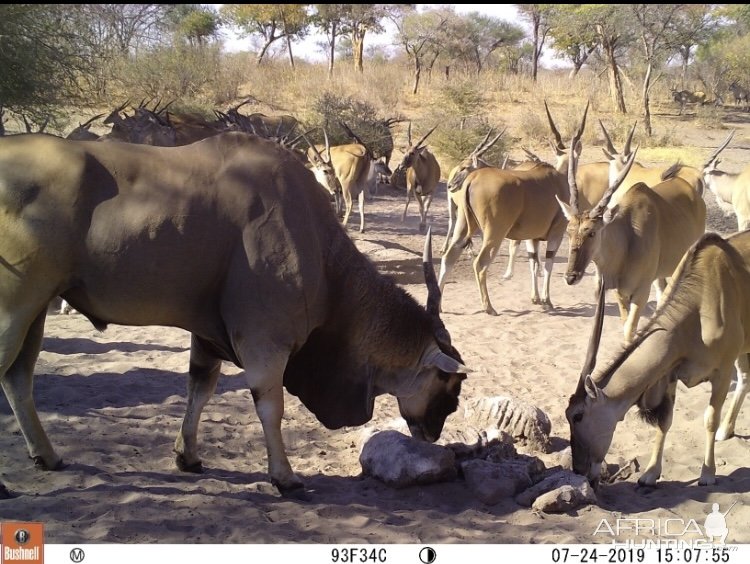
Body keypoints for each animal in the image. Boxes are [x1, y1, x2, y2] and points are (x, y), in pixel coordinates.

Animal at [568, 231, 750, 486]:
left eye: (578, 416)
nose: (578, 470)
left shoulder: (722, 373)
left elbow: (710, 420)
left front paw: (707, 473)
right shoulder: (670, 373)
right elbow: (664, 421)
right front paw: (650, 473)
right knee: (744, 379)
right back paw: (726, 431)